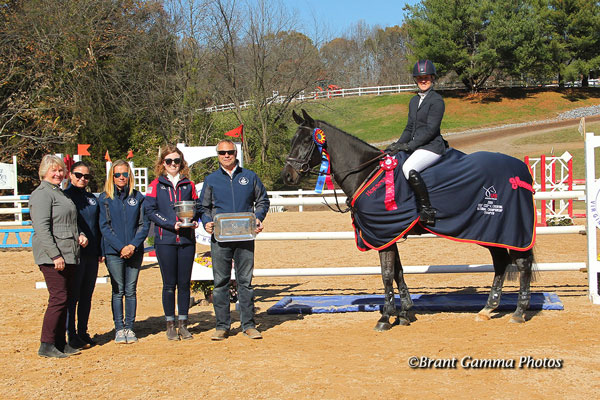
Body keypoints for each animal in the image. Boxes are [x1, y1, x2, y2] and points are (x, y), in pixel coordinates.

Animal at [284, 109, 536, 332]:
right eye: (292, 139)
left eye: (306, 140)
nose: (287, 175)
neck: (367, 173)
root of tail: (520, 170)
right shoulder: (389, 234)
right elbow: (398, 272)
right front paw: (404, 313)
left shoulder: (383, 233)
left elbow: (387, 274)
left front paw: (385, 317)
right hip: (490, 232)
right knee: (501, 263)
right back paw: (487, 309)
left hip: (509, 230)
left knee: (522, 265)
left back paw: (518, 312)